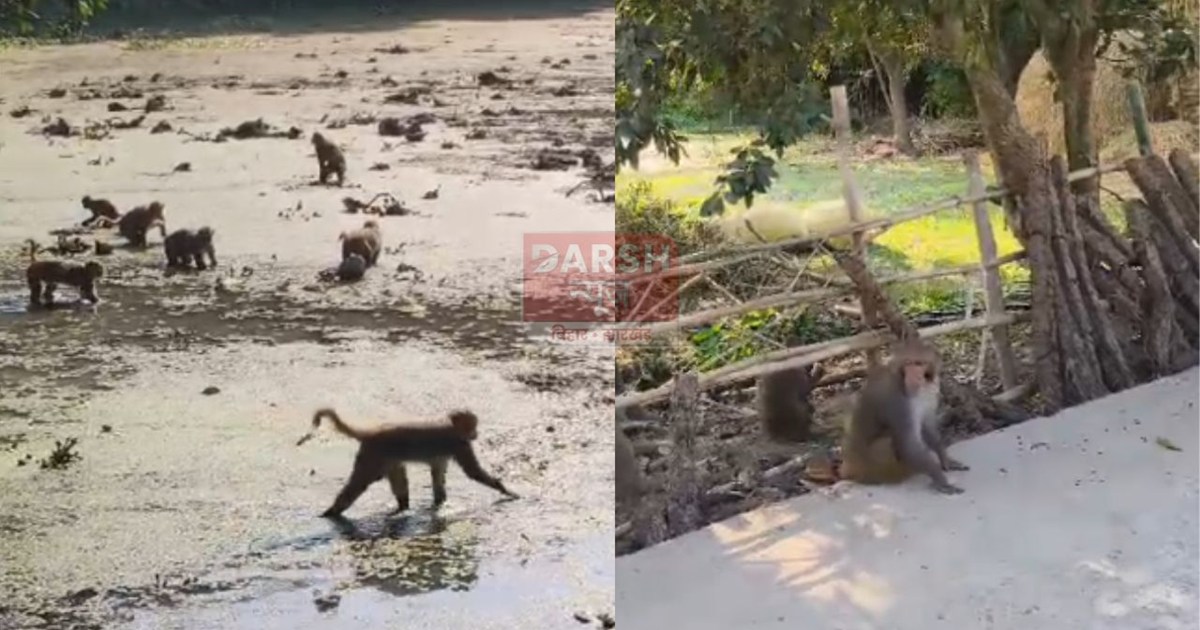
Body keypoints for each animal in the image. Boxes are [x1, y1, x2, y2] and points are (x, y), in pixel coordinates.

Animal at [302, 407, 518, 517]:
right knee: (358, 484)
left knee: (399, 482)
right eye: (473, 426)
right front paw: (505, 490)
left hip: (387, 459)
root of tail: (371, 433)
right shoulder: (459, 444)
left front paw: (439, 503)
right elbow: (473, 472)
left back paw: (402, 507)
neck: (451, 424)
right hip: (373, 455)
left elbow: (438, 477)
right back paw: (332, 512)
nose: (476, 434)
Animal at [839, 339, 969, 495]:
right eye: (908, 363)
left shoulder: (932, 389)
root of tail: (847, 467)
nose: (912, 376)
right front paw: (940, 479)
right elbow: (908, 444)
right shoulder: (897, 401)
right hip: (866, 467)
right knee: (887, 442)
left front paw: (945, 459)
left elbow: (927, 426)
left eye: (919, 363)